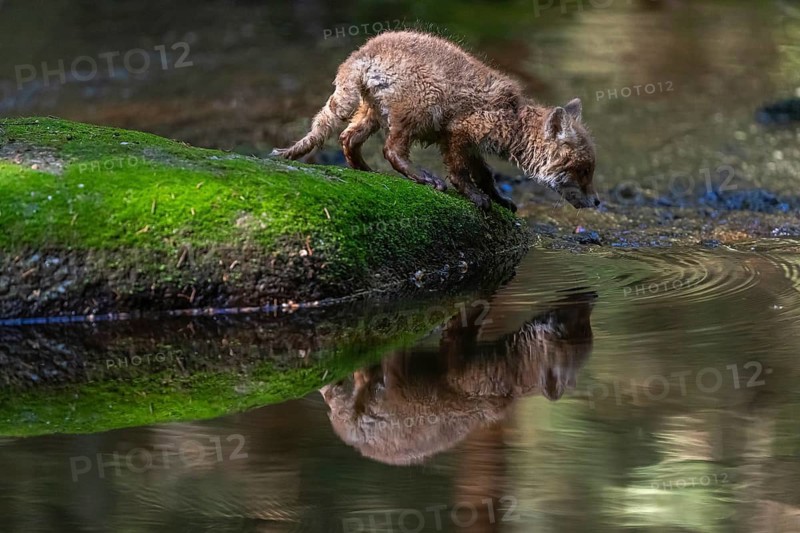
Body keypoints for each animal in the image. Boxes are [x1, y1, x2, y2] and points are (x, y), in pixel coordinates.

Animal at [272, 30, 599, 211]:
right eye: (583, 171)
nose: (597, 202)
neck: (513, 119)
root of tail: (363, 52)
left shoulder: (472, 145)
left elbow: (486, 175)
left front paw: (499, 199)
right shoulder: (460, 132)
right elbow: (460, 174)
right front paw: (475, 197)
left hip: (371, 112)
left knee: (347, 139)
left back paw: (365, 171)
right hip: (420, 108)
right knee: (391, 150)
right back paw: (421, 177)